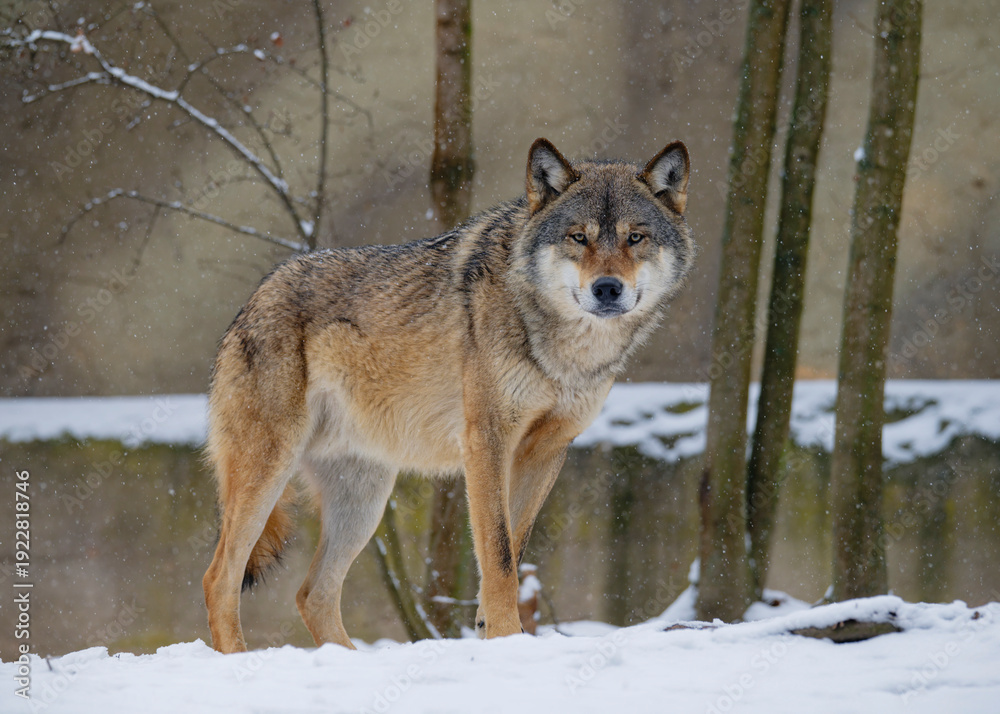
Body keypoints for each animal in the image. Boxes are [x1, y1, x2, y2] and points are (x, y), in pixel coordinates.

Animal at [202, 138, 693, 653]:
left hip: (363, 500)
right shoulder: (487, 443)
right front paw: (505, 638)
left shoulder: (546, 451)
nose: (607, 289)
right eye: (578, 237)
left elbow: (515, 548)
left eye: (635, 238)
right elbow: (498, 555)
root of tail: (252, 299)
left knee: (312, 594)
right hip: (269, 472)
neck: (564, 352)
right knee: (219, 578)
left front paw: (491, 634)